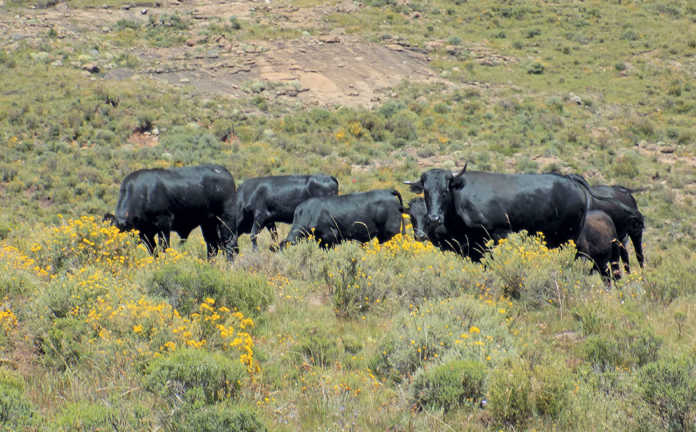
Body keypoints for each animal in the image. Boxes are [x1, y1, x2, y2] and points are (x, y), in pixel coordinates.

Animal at [104, 164, 237, 258]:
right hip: (207, 223)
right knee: (212, 246)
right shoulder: (146, 234)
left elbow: (164, 249)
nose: (116, 249)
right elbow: (153, 252)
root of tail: (224, 171)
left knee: (229, 245)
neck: (144, 193)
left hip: (225, 220)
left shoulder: (164, 224)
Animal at [405, 165, 591, 260]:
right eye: (426, 191)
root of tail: (570, 179)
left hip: (570, 236)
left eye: (445, 191)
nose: (434, 218)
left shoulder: (498, 234)